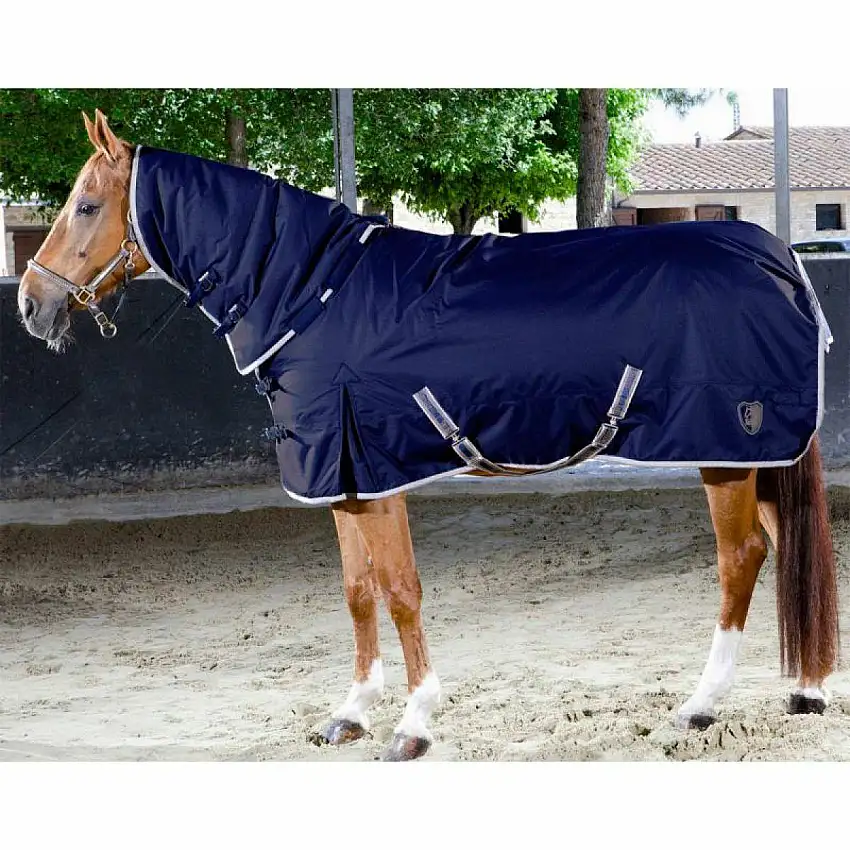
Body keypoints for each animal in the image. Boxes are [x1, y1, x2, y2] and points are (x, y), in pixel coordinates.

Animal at [16, 109, 840, 761]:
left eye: (86, 204)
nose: (29, 303)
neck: (314, 293)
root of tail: (778, 259)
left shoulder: (374, 472)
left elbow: (402, 591)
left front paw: (413, 724)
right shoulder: (342, 480)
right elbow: (357, 592)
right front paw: (349, 712)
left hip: (724, 453)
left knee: (743, 556)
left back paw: (702, 705)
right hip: (758, 455)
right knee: (788, 544)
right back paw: (806, 691)